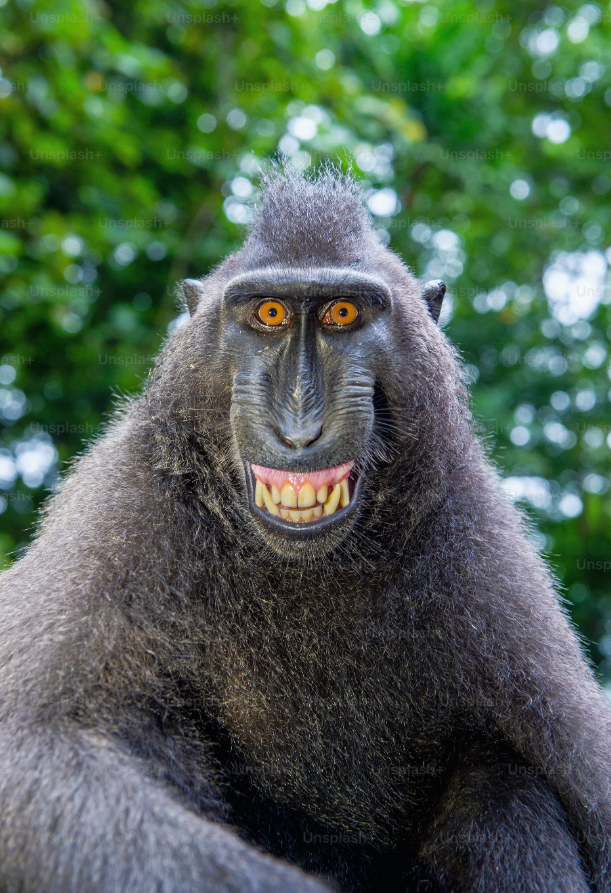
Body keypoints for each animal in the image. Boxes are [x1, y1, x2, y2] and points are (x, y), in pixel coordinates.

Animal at [0, 166, 609, 893]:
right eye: (268, 314)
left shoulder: (478, 543)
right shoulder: (122, 509)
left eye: (342, 314)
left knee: (503, 780)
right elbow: (32, 745)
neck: (306, 565)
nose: (299, 426)